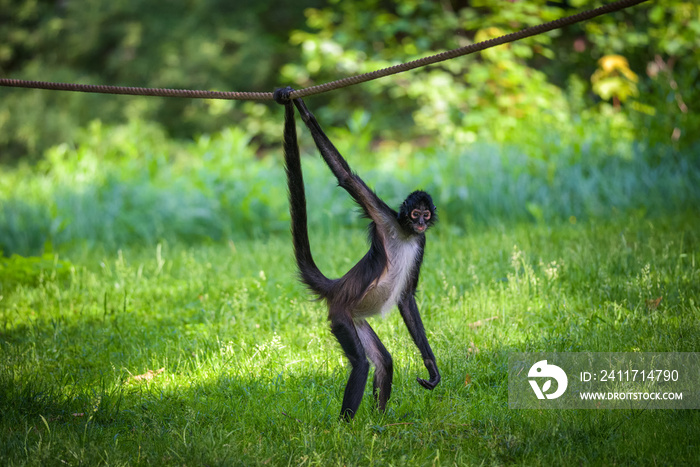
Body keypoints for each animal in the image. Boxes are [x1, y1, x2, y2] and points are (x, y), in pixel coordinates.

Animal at [276, 87, 440, 420]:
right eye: (414, 213)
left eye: (426, 215)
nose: (420, 222)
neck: (405, 233)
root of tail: (338, 287)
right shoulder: (383, 216)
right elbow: (346, 177)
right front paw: (304, 112)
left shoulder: (422, 242)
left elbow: (406, 297)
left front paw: (431, 368)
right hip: (341, 314)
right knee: (362, 364)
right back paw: (345, 428)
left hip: (356, 317)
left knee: (383, 361)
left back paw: (380, 422)